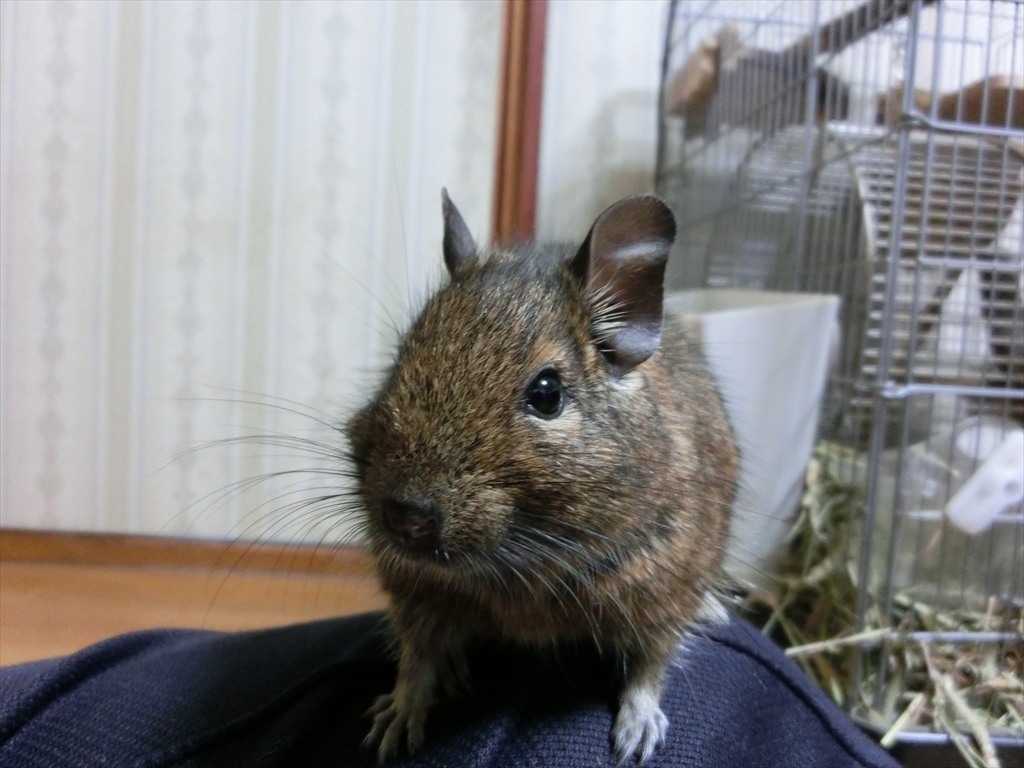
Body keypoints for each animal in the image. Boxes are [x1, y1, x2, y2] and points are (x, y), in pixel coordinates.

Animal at [347, 190, 738, 764]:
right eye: (399, 364)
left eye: (547, 394)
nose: (404, 518)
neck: (523, 566)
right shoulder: (414, 588)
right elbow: (417, 656)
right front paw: (397, 717)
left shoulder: (664, 583)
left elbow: (651, 663)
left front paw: (637, 734)